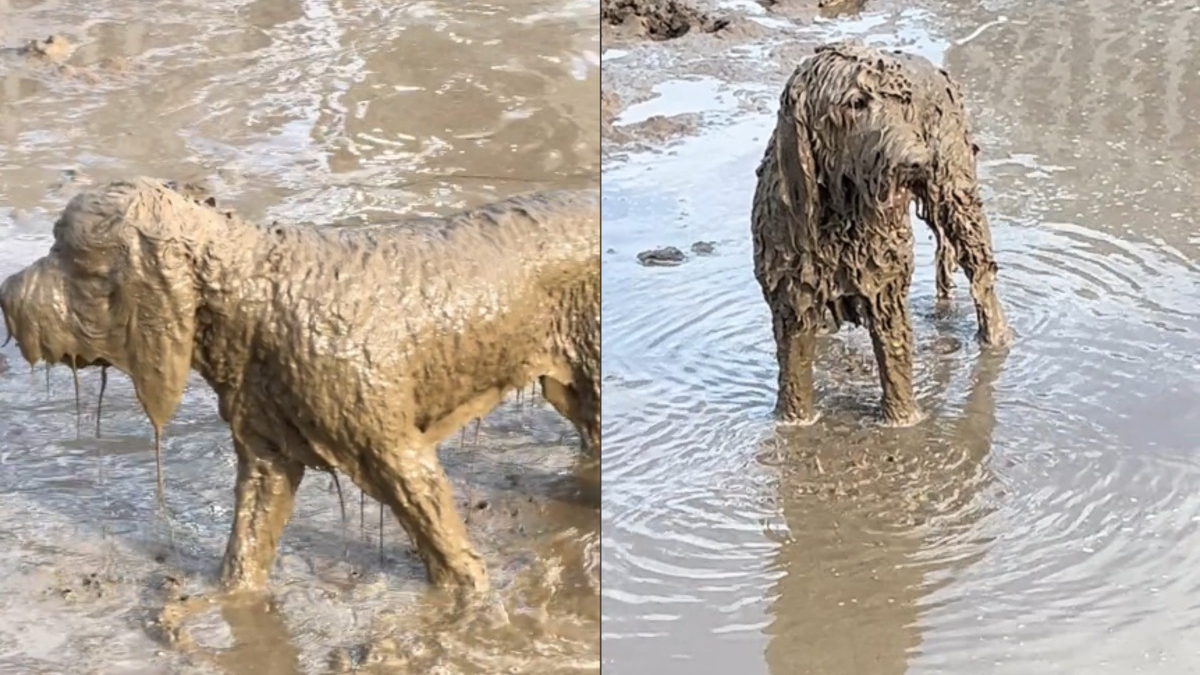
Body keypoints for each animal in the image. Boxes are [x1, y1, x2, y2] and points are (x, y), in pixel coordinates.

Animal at [0, 177, 600, 593]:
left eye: (66, 252)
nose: (6, 293)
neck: (252, 297)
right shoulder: (268, 454)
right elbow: (247, 546)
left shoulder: (398, 455)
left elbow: (453, 559)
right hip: (568, 388)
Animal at [748, 39, 1012, 422]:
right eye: (856, 102)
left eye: (902, 104)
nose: (919, 161)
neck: (839, 215)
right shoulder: (792, 299)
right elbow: (793, 380)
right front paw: (793, 424)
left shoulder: (886, 291)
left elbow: (896, 369)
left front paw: (905, 422)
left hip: (957, 199)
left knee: (982, 276)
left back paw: (996, 340)